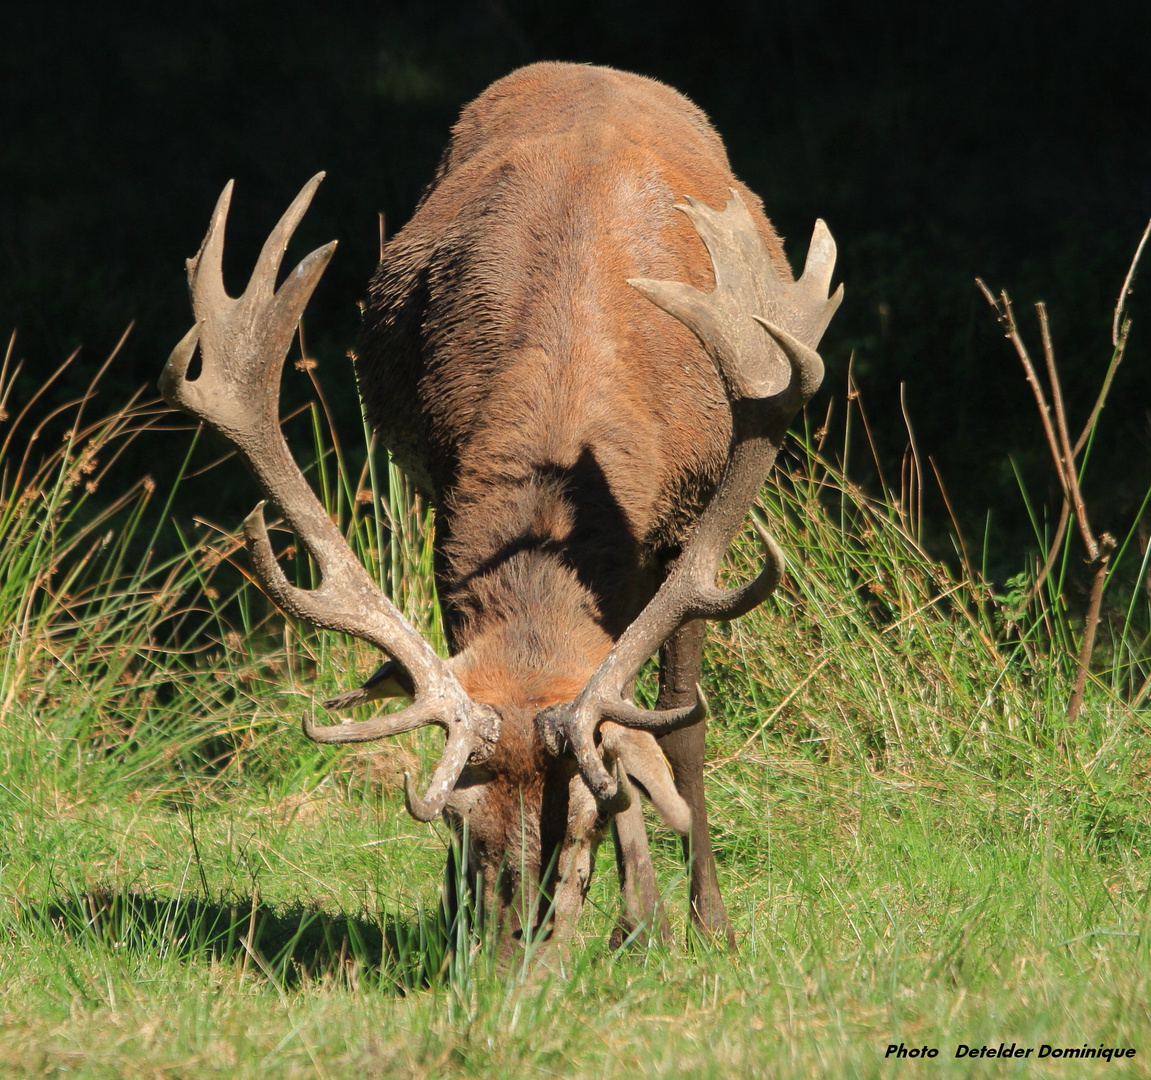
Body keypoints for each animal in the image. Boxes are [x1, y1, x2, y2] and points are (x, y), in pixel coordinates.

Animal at [162, 63, 842, 948]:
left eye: (588, 819)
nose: (506, 951)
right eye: (455, 817)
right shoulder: (446, 512)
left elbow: (677, 727)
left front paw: (688, 924)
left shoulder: (691, 518)